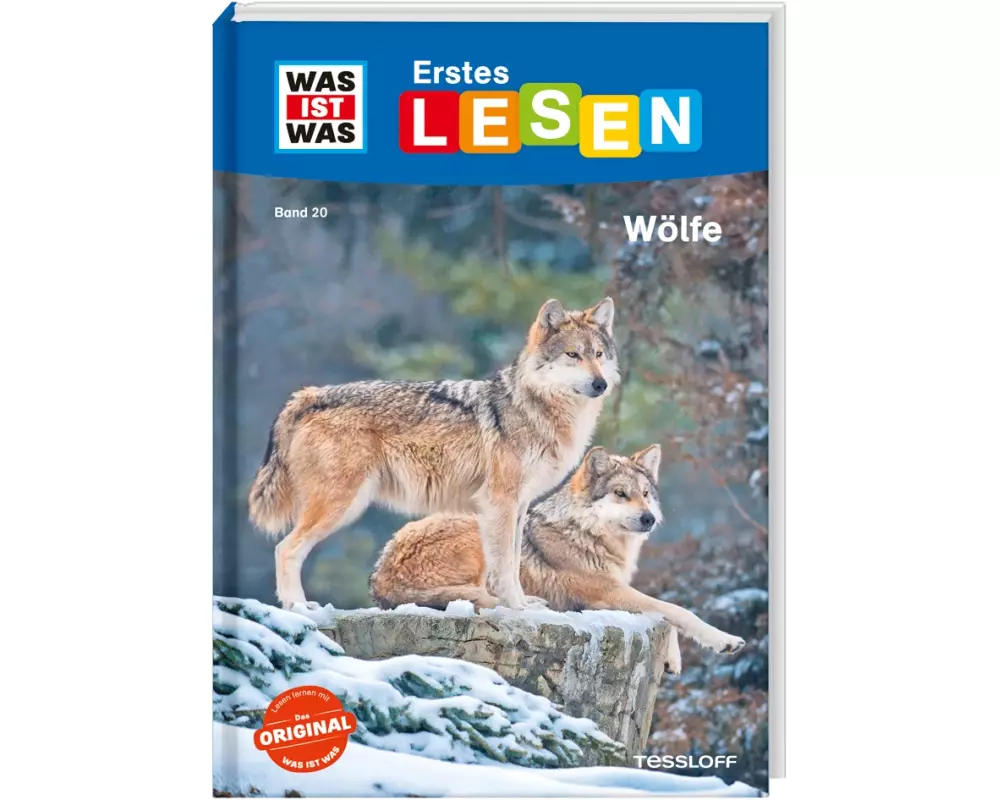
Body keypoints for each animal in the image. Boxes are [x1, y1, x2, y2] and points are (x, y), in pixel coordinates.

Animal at [249, 297, 619, 610]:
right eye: (573, 355)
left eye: (599, 354)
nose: (601, 384)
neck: (536, 408)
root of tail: (311, 394)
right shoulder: (500, 501)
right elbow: (503, 568)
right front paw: (517, 608)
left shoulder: (519, 504)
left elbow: (514, 563)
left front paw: (524, 603)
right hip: (342, 505)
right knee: (285, 548)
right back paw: (298, 606)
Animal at [369, 444, 747, 668]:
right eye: (620, 494)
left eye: (645, 494)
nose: (649, 518)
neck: (588, 534)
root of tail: (380, 577)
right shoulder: (606, 592)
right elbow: (675, 611)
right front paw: (724, 641)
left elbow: (664, 614)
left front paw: (672, 659)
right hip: (482, 533)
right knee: (484, 599)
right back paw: (531, 604)